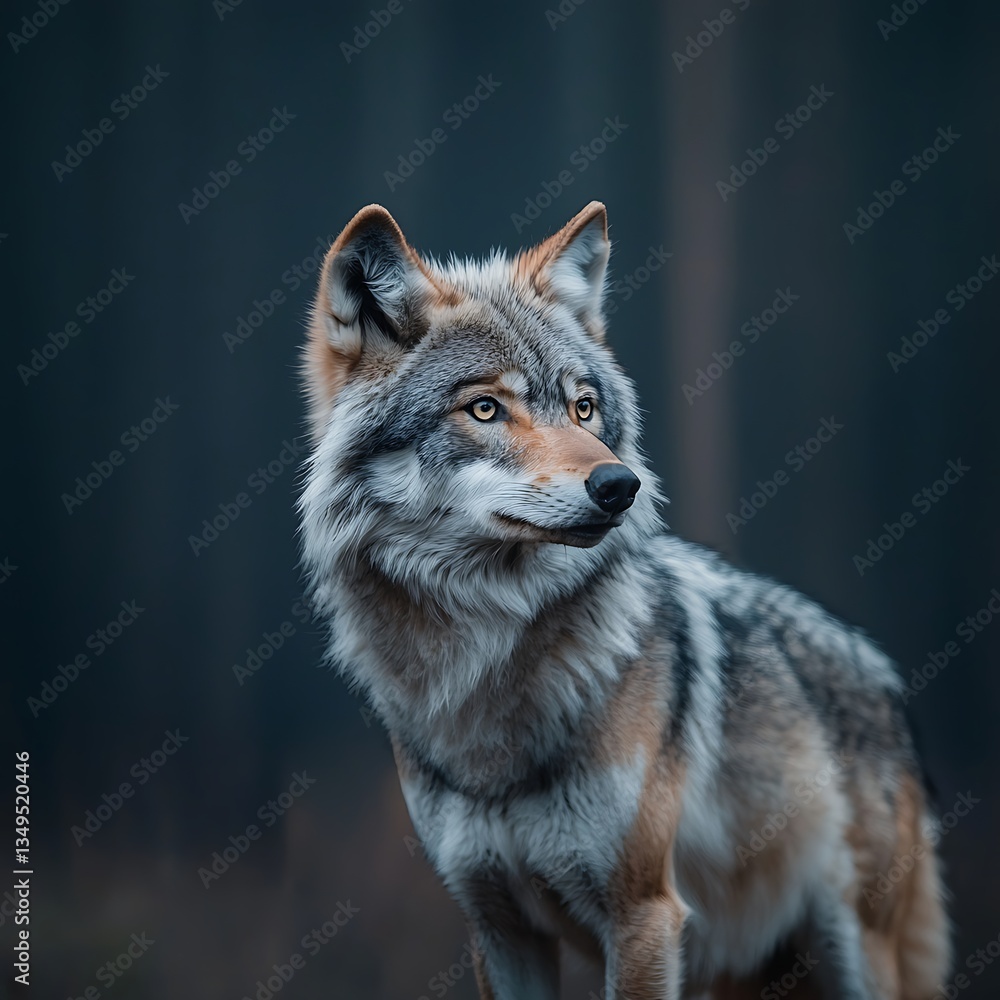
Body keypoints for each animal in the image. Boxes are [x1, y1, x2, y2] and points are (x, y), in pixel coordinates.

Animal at [298, 201, 950, 999]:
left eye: (583, 408)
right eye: (484, 409)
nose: (619, 485)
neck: (488, 668)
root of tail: (883, 678)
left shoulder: (644, 914)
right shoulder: (498, 928)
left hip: (857, 954)